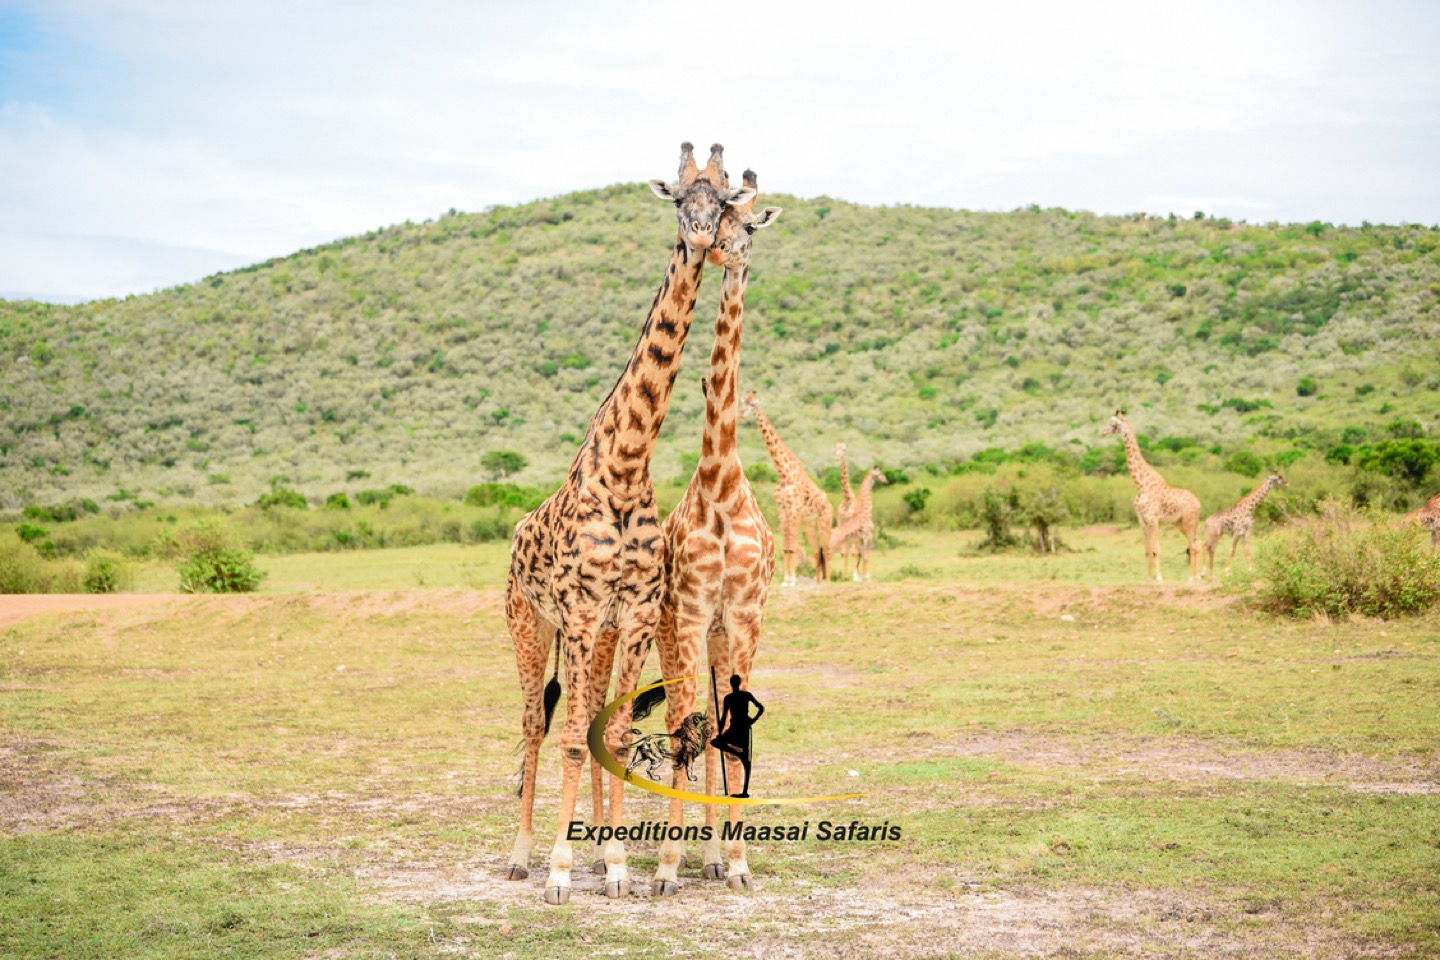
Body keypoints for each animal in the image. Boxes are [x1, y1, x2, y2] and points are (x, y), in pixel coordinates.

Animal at [504, 142, 760, 909]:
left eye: (725, 199)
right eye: (680, 196)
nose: (706, 236)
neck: (625, 465)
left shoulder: (639, 612)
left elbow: (615, 733)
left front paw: (615, 865)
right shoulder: (586, 611)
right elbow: (569, 737)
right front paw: (561, 871)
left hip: (609, 634)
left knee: (592, 718)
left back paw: (595, 849)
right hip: (533, 624)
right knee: (535, 723)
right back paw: (523, 856)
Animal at [743, 391, 835, 587]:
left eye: (753, 405)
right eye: (743, 402)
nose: (741, 413)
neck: (783, 472)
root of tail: (829, 503)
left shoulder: (793, 509)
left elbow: (792, 545)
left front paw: (791, 580)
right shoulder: (782, 509)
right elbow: (786, 546)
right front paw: (786, 579)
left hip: (824, 521)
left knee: (826, 550)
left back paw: (828, 581)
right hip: (809, 524)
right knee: (817, 551)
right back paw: (817, 582)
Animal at [1100, 408, 1203, 581]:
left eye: (1114, 424)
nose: (1102, 432)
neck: (1141, 485)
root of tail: (1198, 503)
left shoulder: (1153, 519)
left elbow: (1156, 548)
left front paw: (1160, 577)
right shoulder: (1142, 520)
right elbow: (1147, 550)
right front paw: (1149, 578)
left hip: (1190, 521)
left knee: (1194, 545)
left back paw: (1192, 578)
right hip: (1180, 523)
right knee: (1198, 543)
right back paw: (1199, 575)